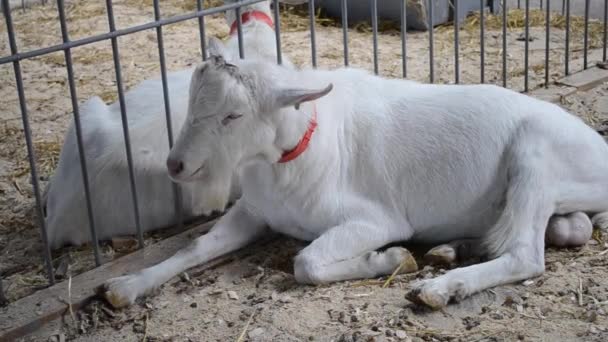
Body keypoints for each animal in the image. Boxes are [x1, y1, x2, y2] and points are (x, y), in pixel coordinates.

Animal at [101, 38, 608, 308]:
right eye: (191, 104)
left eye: (232, 116)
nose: (176, 165)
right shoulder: (254, 212)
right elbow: (196, 248)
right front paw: (125, 286)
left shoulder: (376, 219)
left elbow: (306, 262)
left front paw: (391, 259)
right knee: (565, 229)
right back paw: (452, 250)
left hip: (535, 154)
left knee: (526, 254)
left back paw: (439, 287)